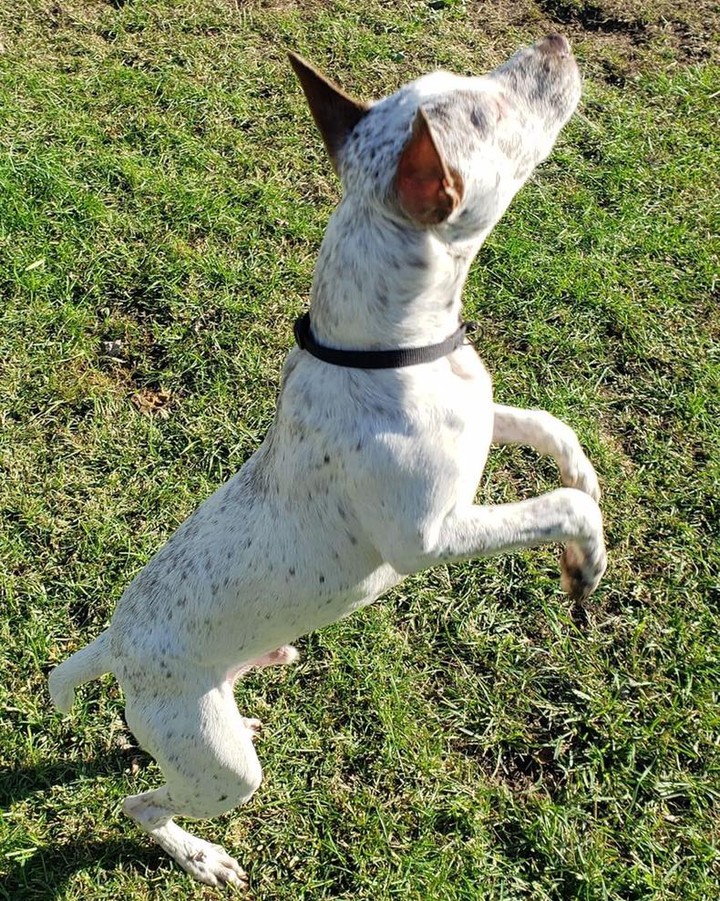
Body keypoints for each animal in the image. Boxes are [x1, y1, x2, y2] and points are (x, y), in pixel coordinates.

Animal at [47, 35, 604, 884]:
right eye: (488, 112)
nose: (555, 41)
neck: (393, 345)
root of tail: (114, 644)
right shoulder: (429, 538)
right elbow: (561, 507)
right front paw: (590, 555)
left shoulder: (481, 423)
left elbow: (553, 429)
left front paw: (584, 495)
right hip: (220, 769)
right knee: (139, 804)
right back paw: (200, 856)